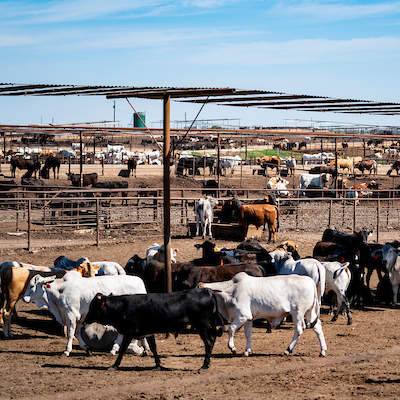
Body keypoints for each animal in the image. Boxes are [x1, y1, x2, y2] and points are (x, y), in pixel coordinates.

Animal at [83, 290, 225, 370]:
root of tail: (207, 291)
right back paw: (208, 362)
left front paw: (114, 365)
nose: (85, 319)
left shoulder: (129, 332)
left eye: (94, 306)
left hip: (202, 326)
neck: (123, 306)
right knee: (211, 340)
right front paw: (158, 365)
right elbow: (154, 348)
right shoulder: (148, 332)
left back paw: (205, 365)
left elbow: (122, 349)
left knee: (209, 341)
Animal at [200, 274, 328, 358]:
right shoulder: (248, 318)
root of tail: (310, 280)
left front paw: (232, 348)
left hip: (298, 313)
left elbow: (231, 329)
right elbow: (248, 334)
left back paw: (288, 350)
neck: (230, 291)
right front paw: (247, 351)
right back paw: (322, 351)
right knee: (317, 327)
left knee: (299, 330)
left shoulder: (242, 315)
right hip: (309, 312)